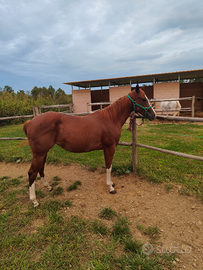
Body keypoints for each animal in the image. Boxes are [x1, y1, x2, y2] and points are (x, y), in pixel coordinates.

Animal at [23, 85, 155, 207]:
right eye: (143, 99)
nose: (153, 115)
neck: (110, 119)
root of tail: (31, 122)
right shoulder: (110, 148)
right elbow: (109, 167)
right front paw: (110, 187)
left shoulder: (106, 149)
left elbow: (108, 166)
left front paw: (111, 183)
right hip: (39, 153)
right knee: (32, 173)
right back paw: (34, 201)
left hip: (43, 152)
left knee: (40, 168)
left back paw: (48, 187)